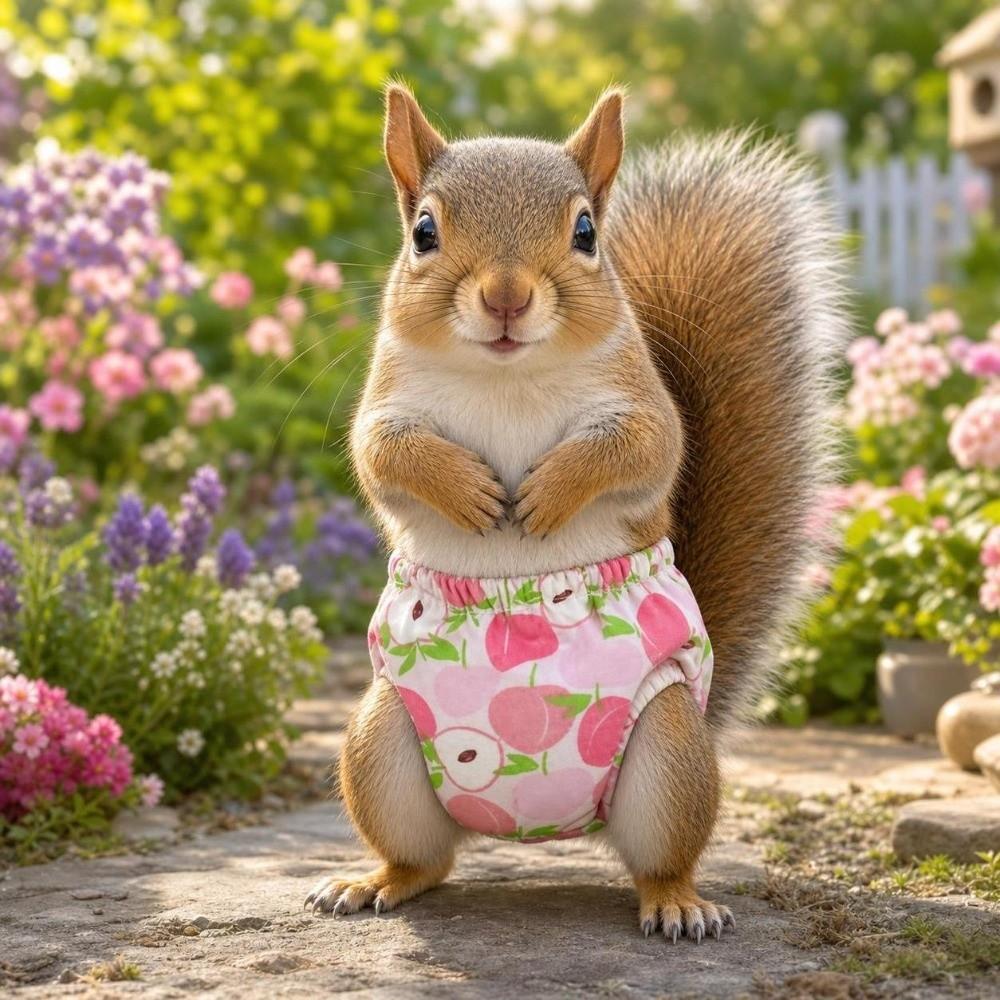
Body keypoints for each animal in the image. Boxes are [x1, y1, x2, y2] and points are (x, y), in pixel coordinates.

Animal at [305, 85, 845, 941]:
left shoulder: (645, 411)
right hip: (379, 742)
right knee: (426, 859)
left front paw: (550, 492)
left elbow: (638, 451)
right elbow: (384, 458)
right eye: (423, 231)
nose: (506, 296)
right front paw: (467, 489)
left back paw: (678, 904)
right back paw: (373, 882)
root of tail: (539, 823)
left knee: (660, 859)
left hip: (667, 751)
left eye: (586, 232)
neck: (508, 376)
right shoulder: (385, 409)